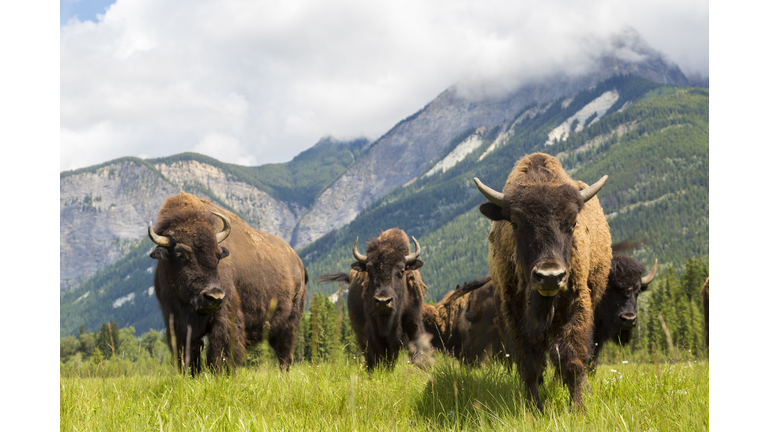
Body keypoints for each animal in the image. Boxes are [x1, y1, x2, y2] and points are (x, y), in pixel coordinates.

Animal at [148, 192, 308, 374]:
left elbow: (219, 351)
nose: (214, 296)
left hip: (289, 324)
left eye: (218, 255)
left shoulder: (224, 317)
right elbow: (188, 353)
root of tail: (299, 264)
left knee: (284, 356)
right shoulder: (176, 322)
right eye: (181, 255)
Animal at [474, 153, 612, 412]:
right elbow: (530, 364)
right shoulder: (515, 315)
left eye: (572, 222)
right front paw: (534, 409)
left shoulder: (577, 306)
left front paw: (577, 408)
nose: (550, 276)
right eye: (515, 223)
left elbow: (572, 359)